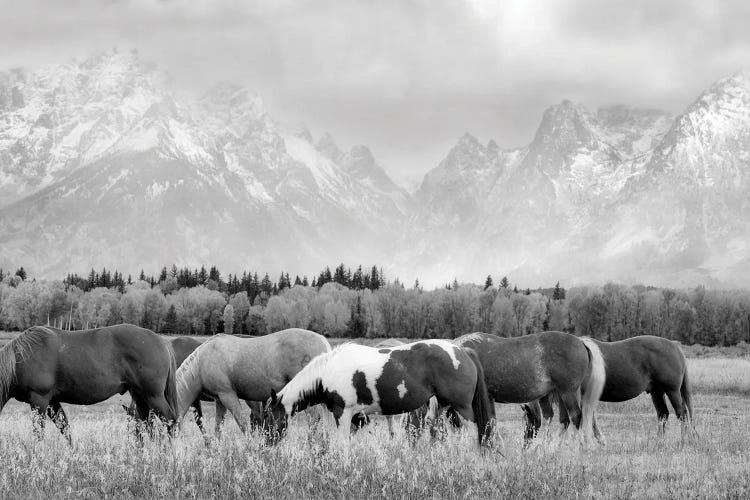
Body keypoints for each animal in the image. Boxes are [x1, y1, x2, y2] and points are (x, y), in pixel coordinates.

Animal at [0, 322, 178, 444]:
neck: (21, 359)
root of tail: (161, 341)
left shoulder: (40, 399)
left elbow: (39, 433)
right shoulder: (52, 402)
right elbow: (65, 429)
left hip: (153, 396)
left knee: (170, 421)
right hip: (141, 397)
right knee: (147, 424)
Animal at [178, 328, 330, 438]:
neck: (201, 362)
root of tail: (323, 342)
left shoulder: (228, 396)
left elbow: (243, 425)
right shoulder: (220, 400)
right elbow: (218, 428)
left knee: (314, 420)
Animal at [266, 340, 500, 446]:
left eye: (269, 416)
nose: (267, 444)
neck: (328, 371)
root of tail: (462, 350)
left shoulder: (343, 413)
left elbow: (341, 444)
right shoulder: (357, 418)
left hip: (464, 407)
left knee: (479, 429)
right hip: (443, 406)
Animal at [456, 330, 608, 444]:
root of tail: (580, 342)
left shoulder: (485, 398)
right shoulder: (489, 399)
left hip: (568, 393)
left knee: (576, 418)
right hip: (563, 394)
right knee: (564, 420)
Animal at [524, 336, 696, 446]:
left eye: (527, 419)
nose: (526, 443)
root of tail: (675, 347)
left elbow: (587, 419)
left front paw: (597, 440)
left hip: (672, 390)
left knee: (682, 413)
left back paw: (683, 440)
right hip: (656, 391)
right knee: (663, 414)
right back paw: (659, 442)